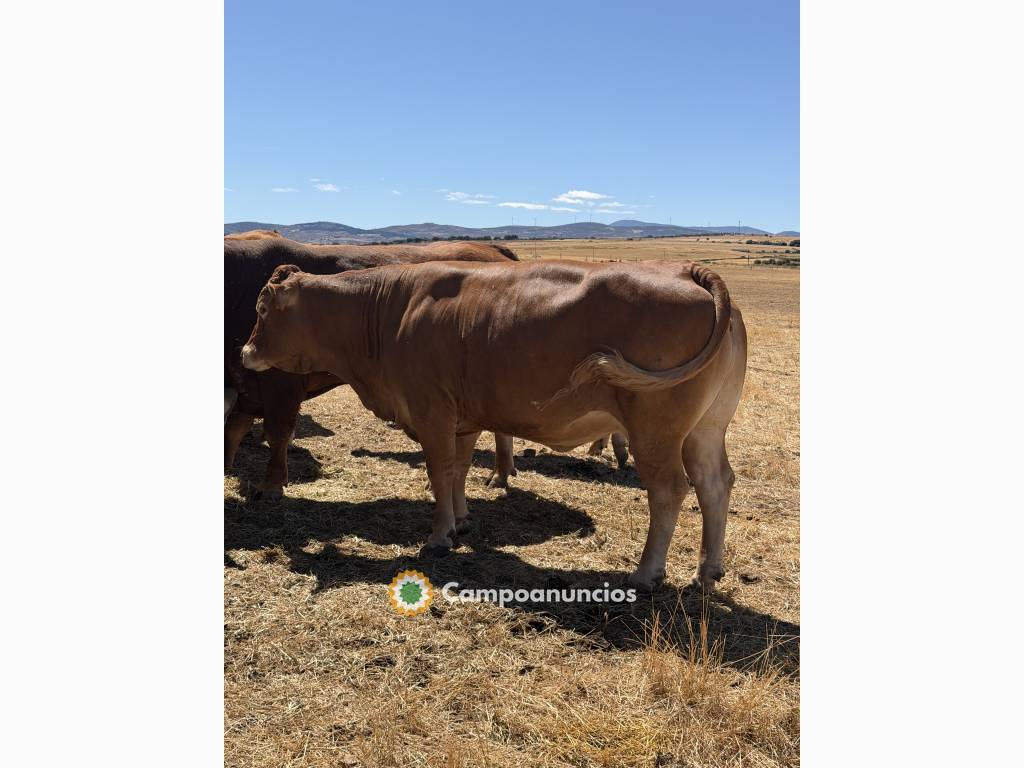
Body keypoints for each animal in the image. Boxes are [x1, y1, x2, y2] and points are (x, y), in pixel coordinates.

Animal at [225, 234, 520, 499]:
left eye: (263, 309)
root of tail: (494, 249)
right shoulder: (243, 387)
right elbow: (233, 429)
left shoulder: (280, 384)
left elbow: (277, 434)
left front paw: (271, 485)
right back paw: (500, 473)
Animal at [240, 259, 747, 590]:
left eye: (263, 307)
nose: (244, 353)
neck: (390, 311)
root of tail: (687, 272)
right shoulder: (463, 420)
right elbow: (458, 471)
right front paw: (462, 520)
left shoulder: (433, 414)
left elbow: (439, 472)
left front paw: (439, 535)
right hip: (705, 430)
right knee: (715, 484)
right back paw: (708, 571)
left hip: (654, 429)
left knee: (669, 491)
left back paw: (645, 573)